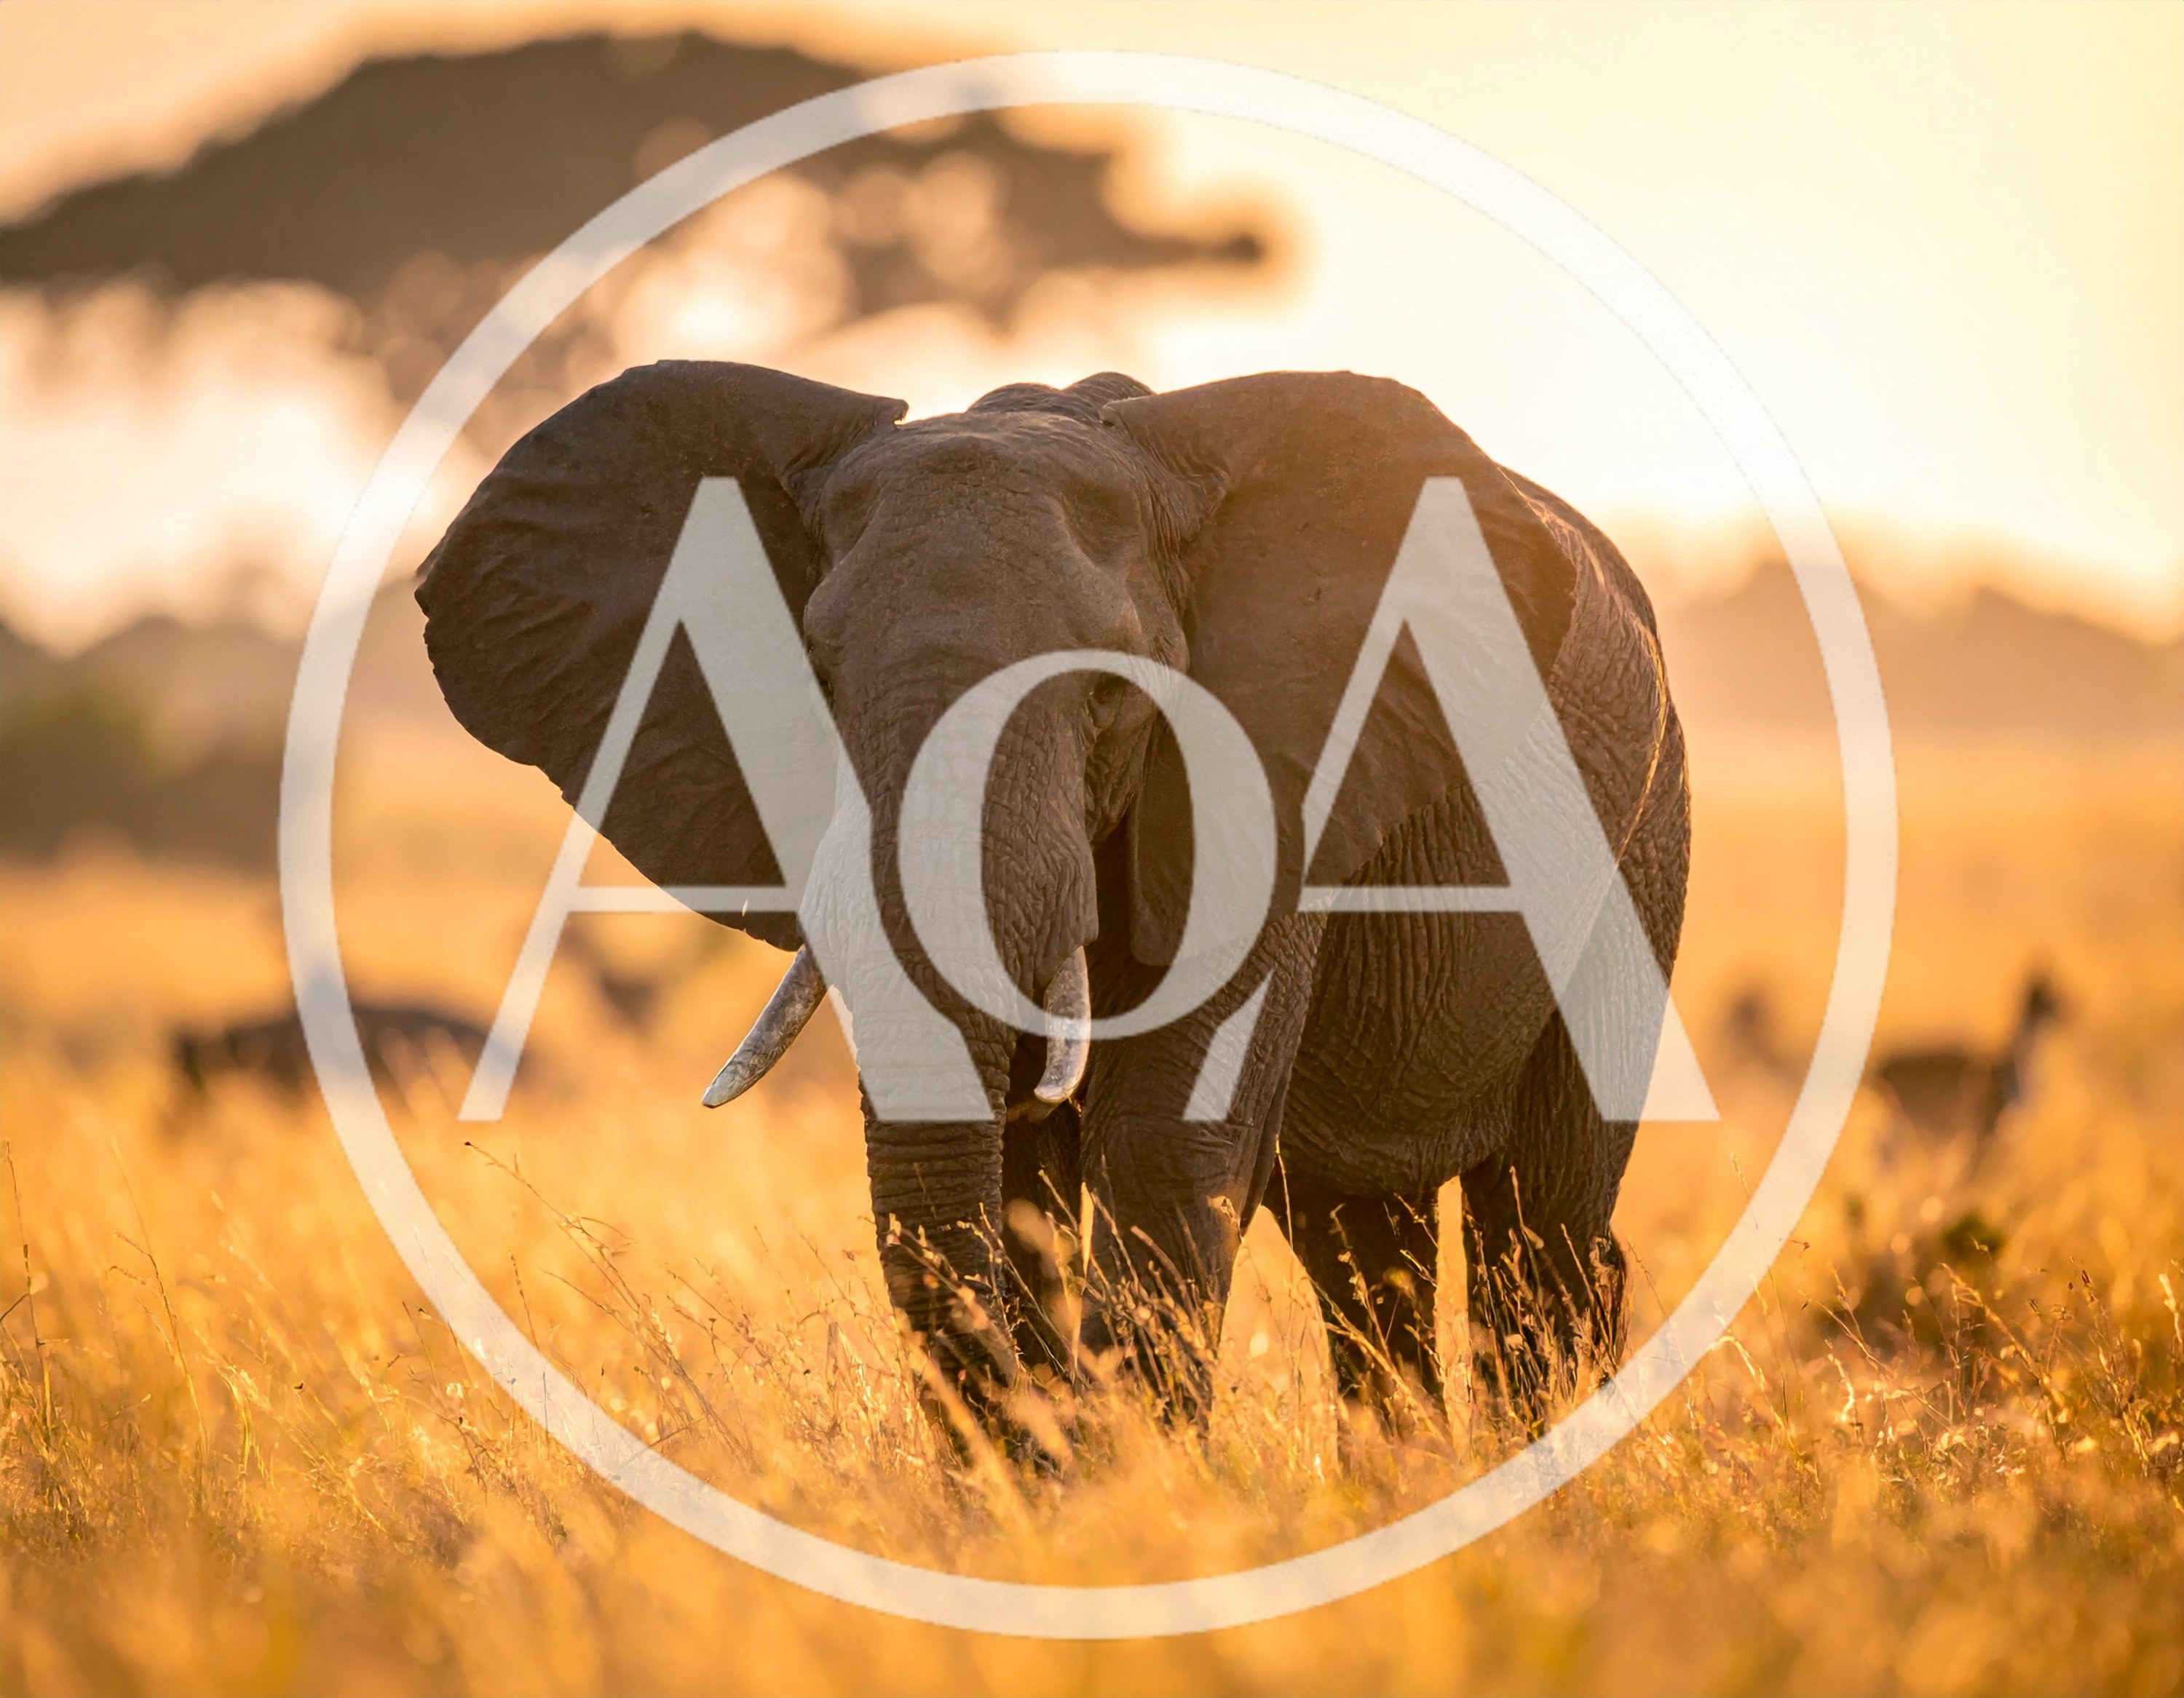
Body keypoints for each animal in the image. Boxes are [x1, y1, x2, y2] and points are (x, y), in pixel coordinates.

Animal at [416, 361, 1691, 1429]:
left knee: (1545, 1230)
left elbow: (1168, 1146)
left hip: (1641, 841)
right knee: (1364, 1252)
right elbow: (1020, 1177)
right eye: (818, 677)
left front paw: (1130, 1497)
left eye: (1108, 690)